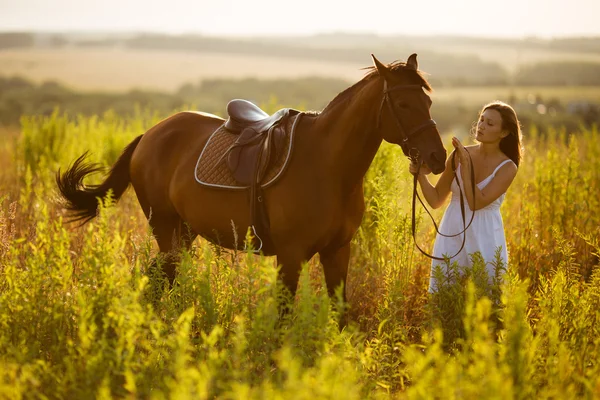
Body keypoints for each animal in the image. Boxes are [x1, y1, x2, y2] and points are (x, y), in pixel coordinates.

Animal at [57, 54, 446, 302]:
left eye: (428, 102)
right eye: (403, 104)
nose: (437, 158)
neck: (329, 167)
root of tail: (149, 135)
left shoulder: (338, 252)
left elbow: (340, 312)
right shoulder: (290, 256)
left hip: (183, 234)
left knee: (161, 278)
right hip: (166, 230)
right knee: (161, 277)